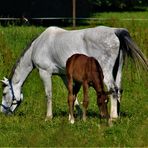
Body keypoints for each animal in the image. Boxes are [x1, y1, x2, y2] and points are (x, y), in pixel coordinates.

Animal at [0, 26, 147, 121]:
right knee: (119, 90)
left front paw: (48, 117)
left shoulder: (45, 73)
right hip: (118, 71)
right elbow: (72, 95)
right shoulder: (65, 75)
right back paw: (117, 114)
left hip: (106, 74)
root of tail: (115, 32)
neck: (39, 45)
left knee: (113, 90)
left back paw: (113, 117)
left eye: (4, 93)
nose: (3, 112)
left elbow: (49, 95)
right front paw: (75, 115)